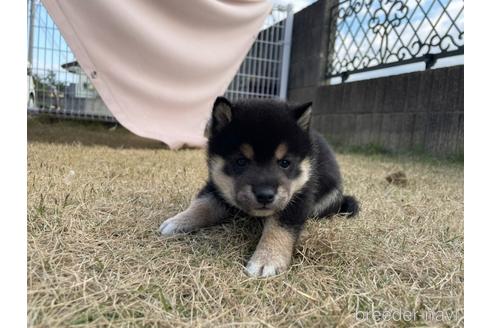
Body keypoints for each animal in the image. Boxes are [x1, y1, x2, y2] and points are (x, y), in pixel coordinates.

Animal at [160, 96, 360, 276]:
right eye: (241, 161)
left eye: (285, 162)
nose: (265, 195)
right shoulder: (217, 186)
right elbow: (202, 204)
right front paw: (179, 221)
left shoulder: (299, 196)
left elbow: (279, 228)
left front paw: (267, 259)